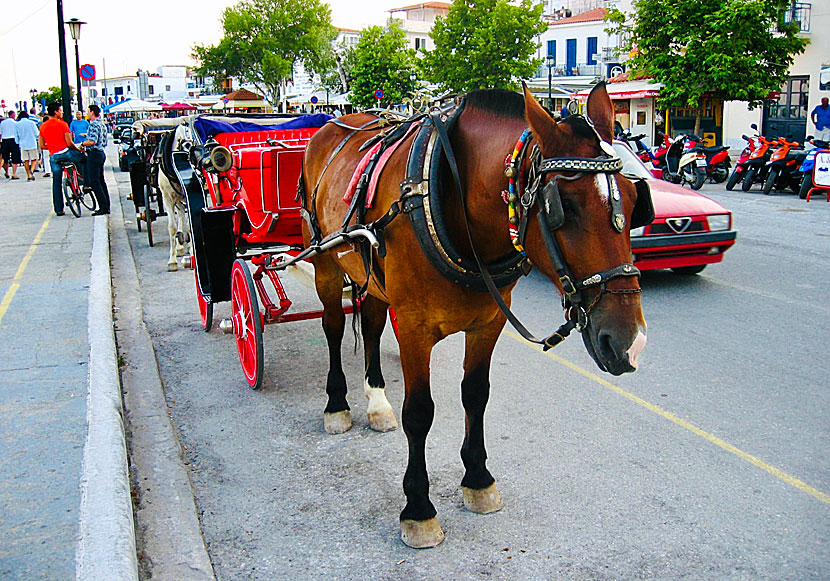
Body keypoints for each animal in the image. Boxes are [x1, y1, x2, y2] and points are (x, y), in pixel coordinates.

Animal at [300, 84, 648, 548]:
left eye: (634, 198)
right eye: (563, 208)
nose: (629, 342)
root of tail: (335, 123)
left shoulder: (488, 323)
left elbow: (476, 395)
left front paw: (478, 478)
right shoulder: (413, 328)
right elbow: (419, 413)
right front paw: (418, 507)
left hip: (370, 275)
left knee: (371, 327)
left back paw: (376, 402)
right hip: (324, 261)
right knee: (334, 328)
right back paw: (337, 403)